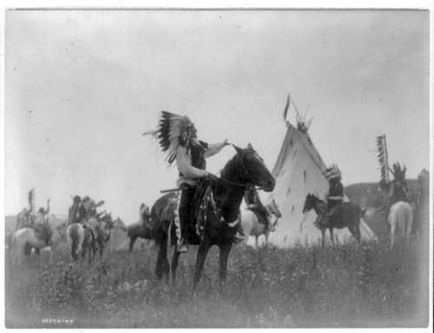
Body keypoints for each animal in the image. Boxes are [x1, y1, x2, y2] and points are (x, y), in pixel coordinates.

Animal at [154, 143, 274, 288]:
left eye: (261, 159)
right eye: (250, 160)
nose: (271, 182)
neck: (223, 208)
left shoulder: (226, 245)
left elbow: (222, 274)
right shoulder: (205, 244)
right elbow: (198, 272)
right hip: (174, 242)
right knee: (172, 265)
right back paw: (172, 287)